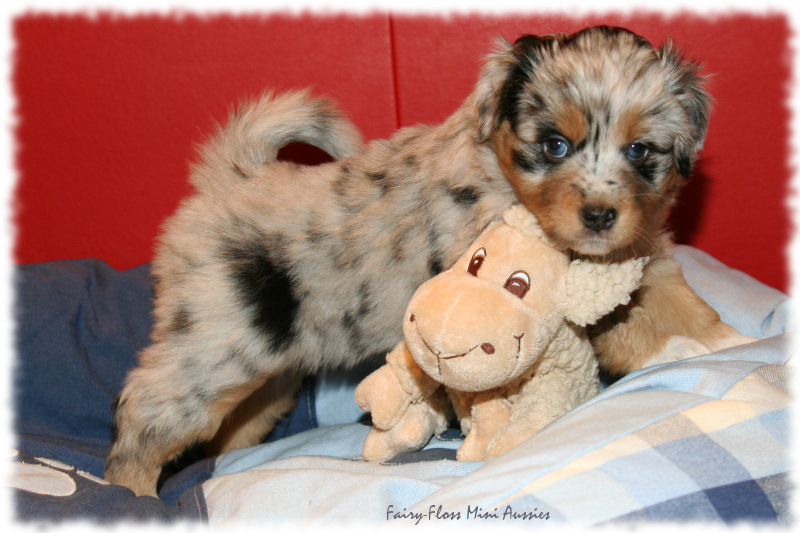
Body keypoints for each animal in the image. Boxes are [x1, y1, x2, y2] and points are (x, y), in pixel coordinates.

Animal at [104, 27, 752, 496]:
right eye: (554, 145)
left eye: (641, 150)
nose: (599, 216)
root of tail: (229, 178)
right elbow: (633, 330)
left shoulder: (645, 258)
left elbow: (686, 312)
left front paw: (734, 347)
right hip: (214, 348)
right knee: (146, 412)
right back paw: (130, 494)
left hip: (272, 366)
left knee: (238, 423)